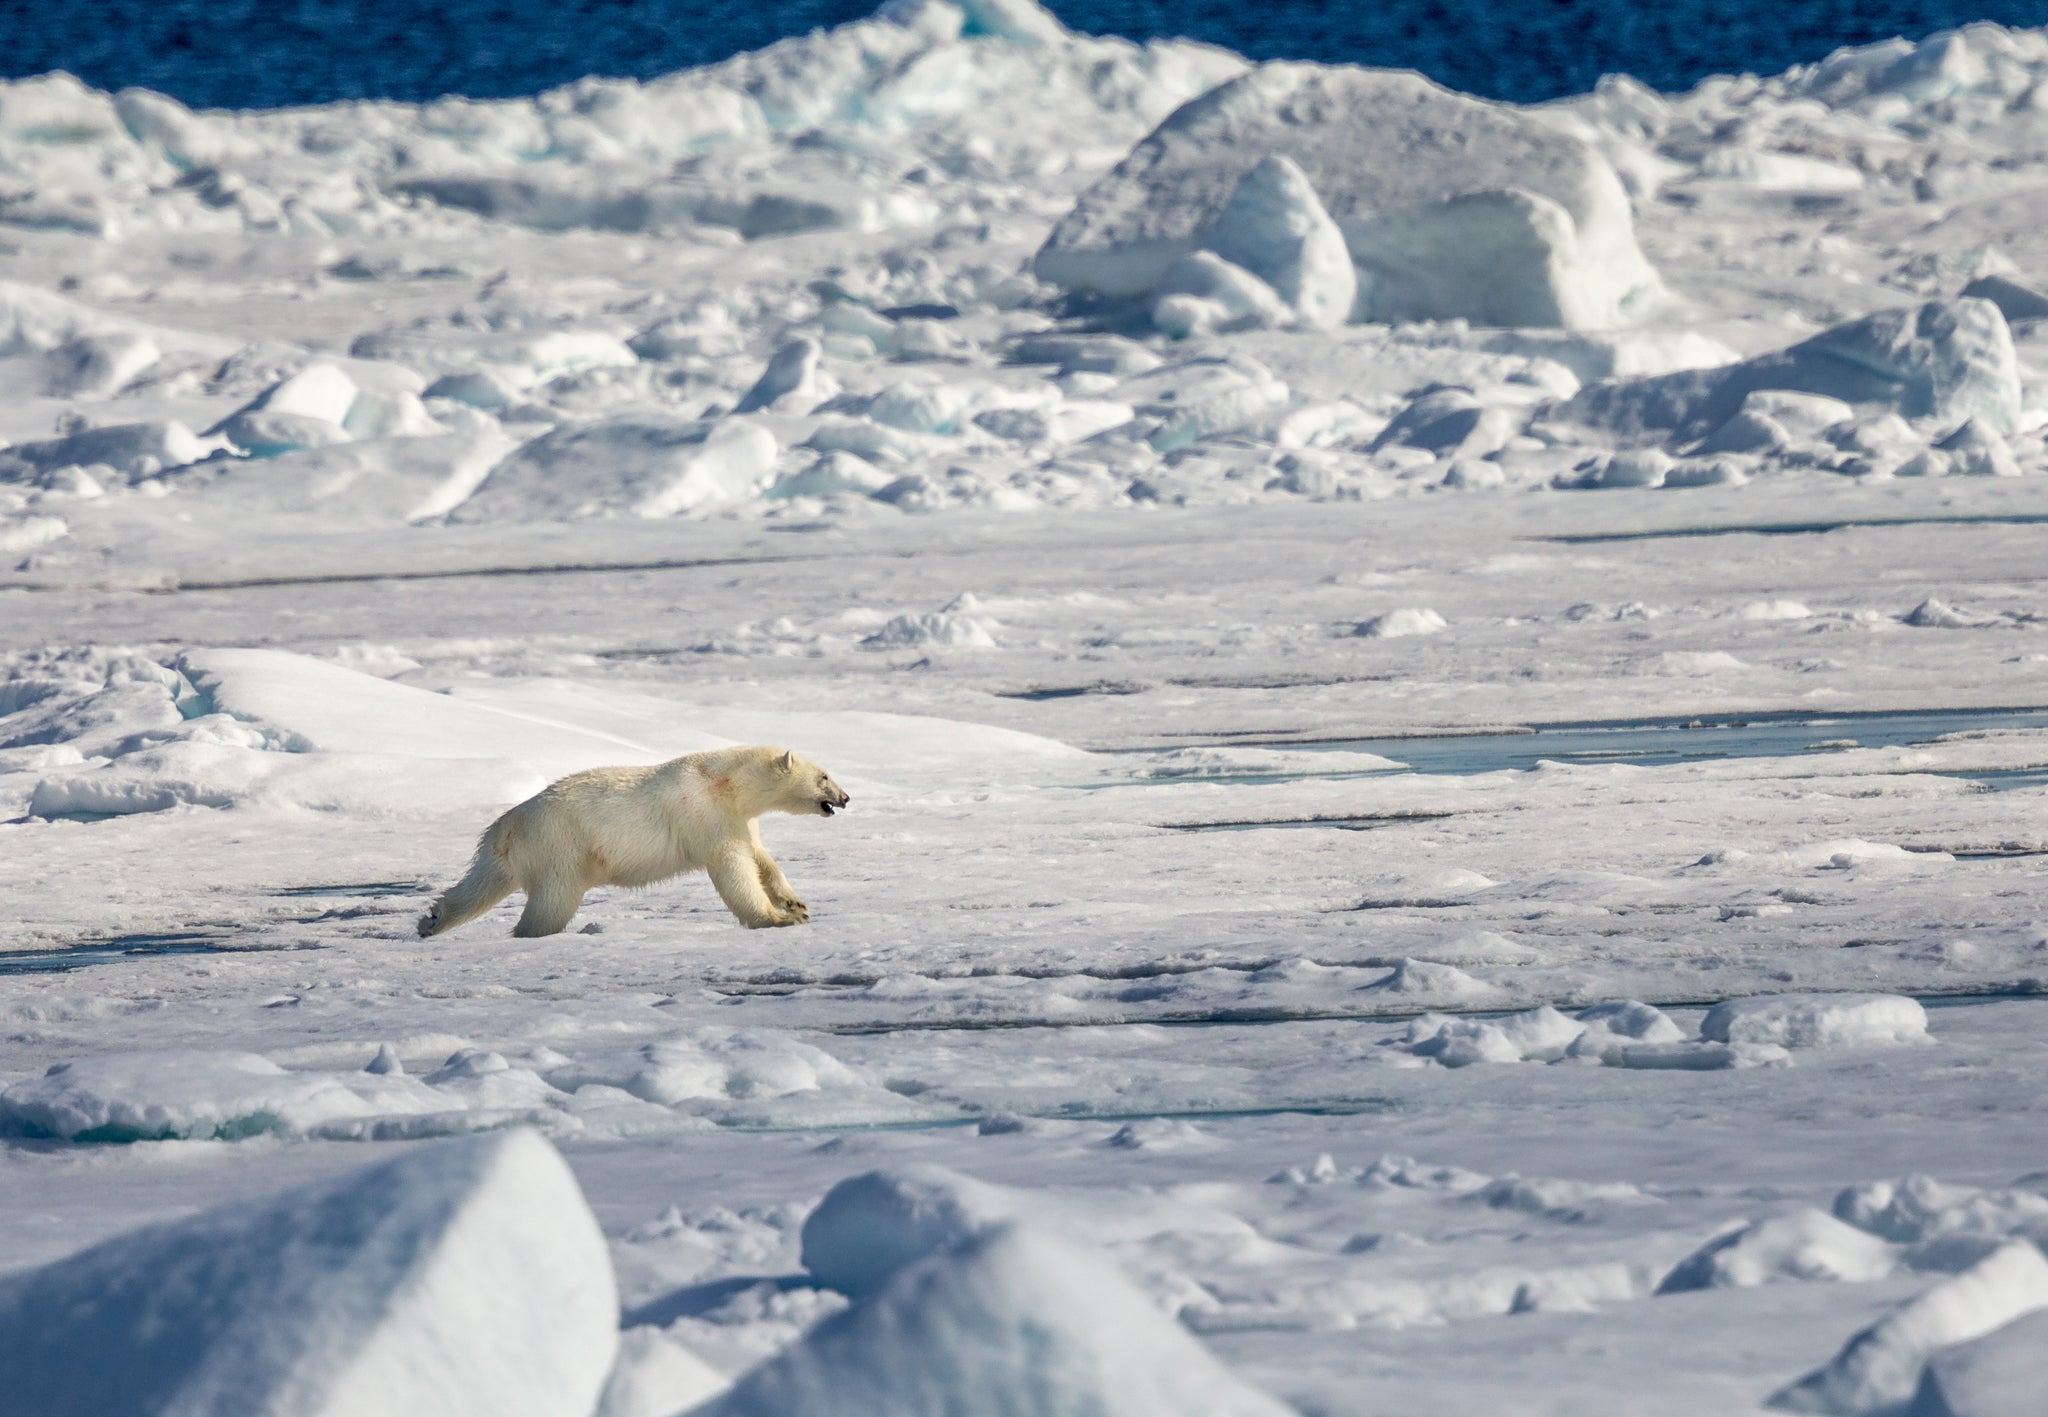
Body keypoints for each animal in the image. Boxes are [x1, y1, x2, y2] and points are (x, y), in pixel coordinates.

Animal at [417, 745, 849, 938]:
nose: (845, 798)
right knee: (551, 903)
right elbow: (732, 868)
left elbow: (761, 858)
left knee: (481, 884)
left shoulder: (738, 818)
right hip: (561, 845)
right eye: (824, 776)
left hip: (510, 853)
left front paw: (796, 903)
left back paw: (432, 920)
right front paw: (778, 919)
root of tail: (507, 825)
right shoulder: (704, 814)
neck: (723, 782)